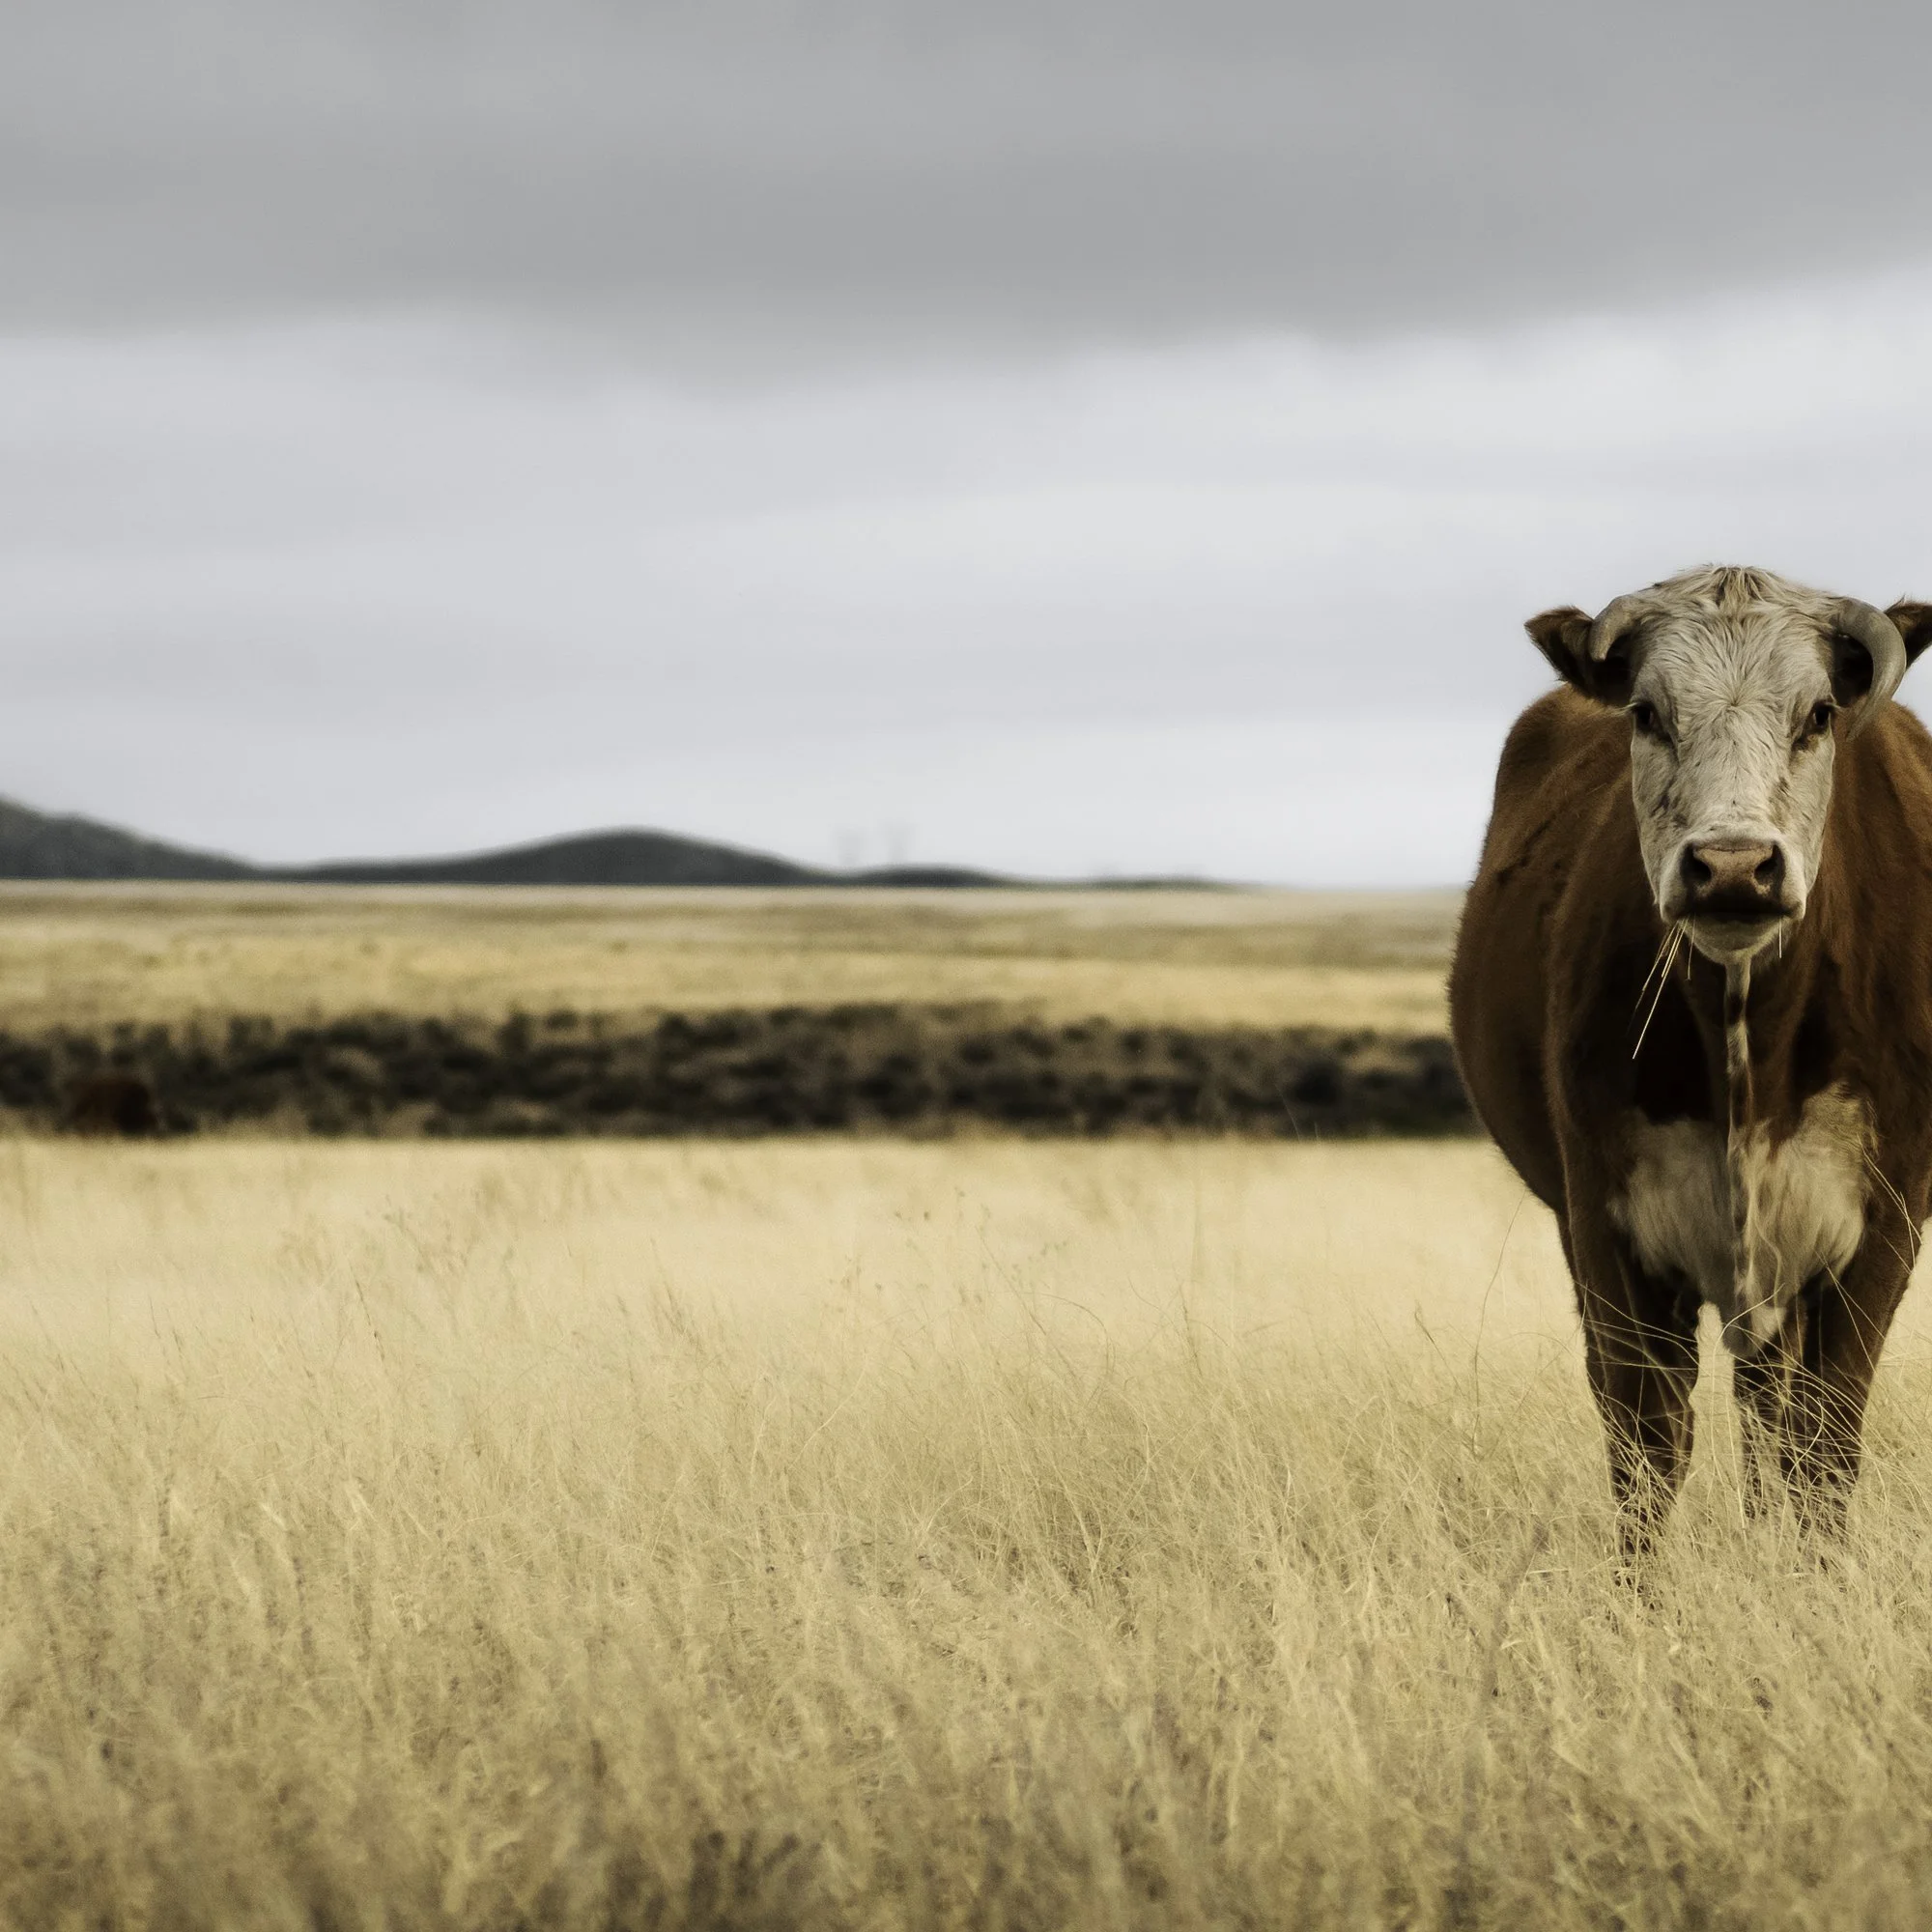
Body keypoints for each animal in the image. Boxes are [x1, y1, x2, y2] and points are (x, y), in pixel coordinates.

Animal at [1451, 565, 1932, 1557]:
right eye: (1646, 713)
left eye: (1819, 712)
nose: (1735, 866)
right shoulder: (1606, 1227)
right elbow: (1646, 1451)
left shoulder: (1884, 1224)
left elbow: (1825, 1450)